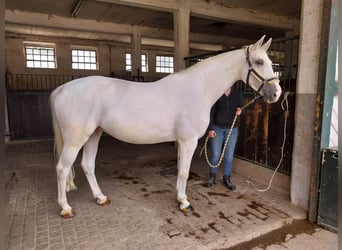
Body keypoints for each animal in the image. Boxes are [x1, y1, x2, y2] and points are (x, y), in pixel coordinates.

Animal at [50, 35, 280, 217]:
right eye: (259, 61)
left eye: (270, 62)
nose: (276, 93)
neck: (197, 89)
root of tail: (63, 88)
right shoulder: (188, 141)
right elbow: (184, 172)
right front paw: (185, 203)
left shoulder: (181, 141)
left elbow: (179, 169)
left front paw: (179, 197)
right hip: (75, 140)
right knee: (62, 169)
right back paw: (65, 208)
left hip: (93, 135)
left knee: (88, 166)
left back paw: (100, 197)